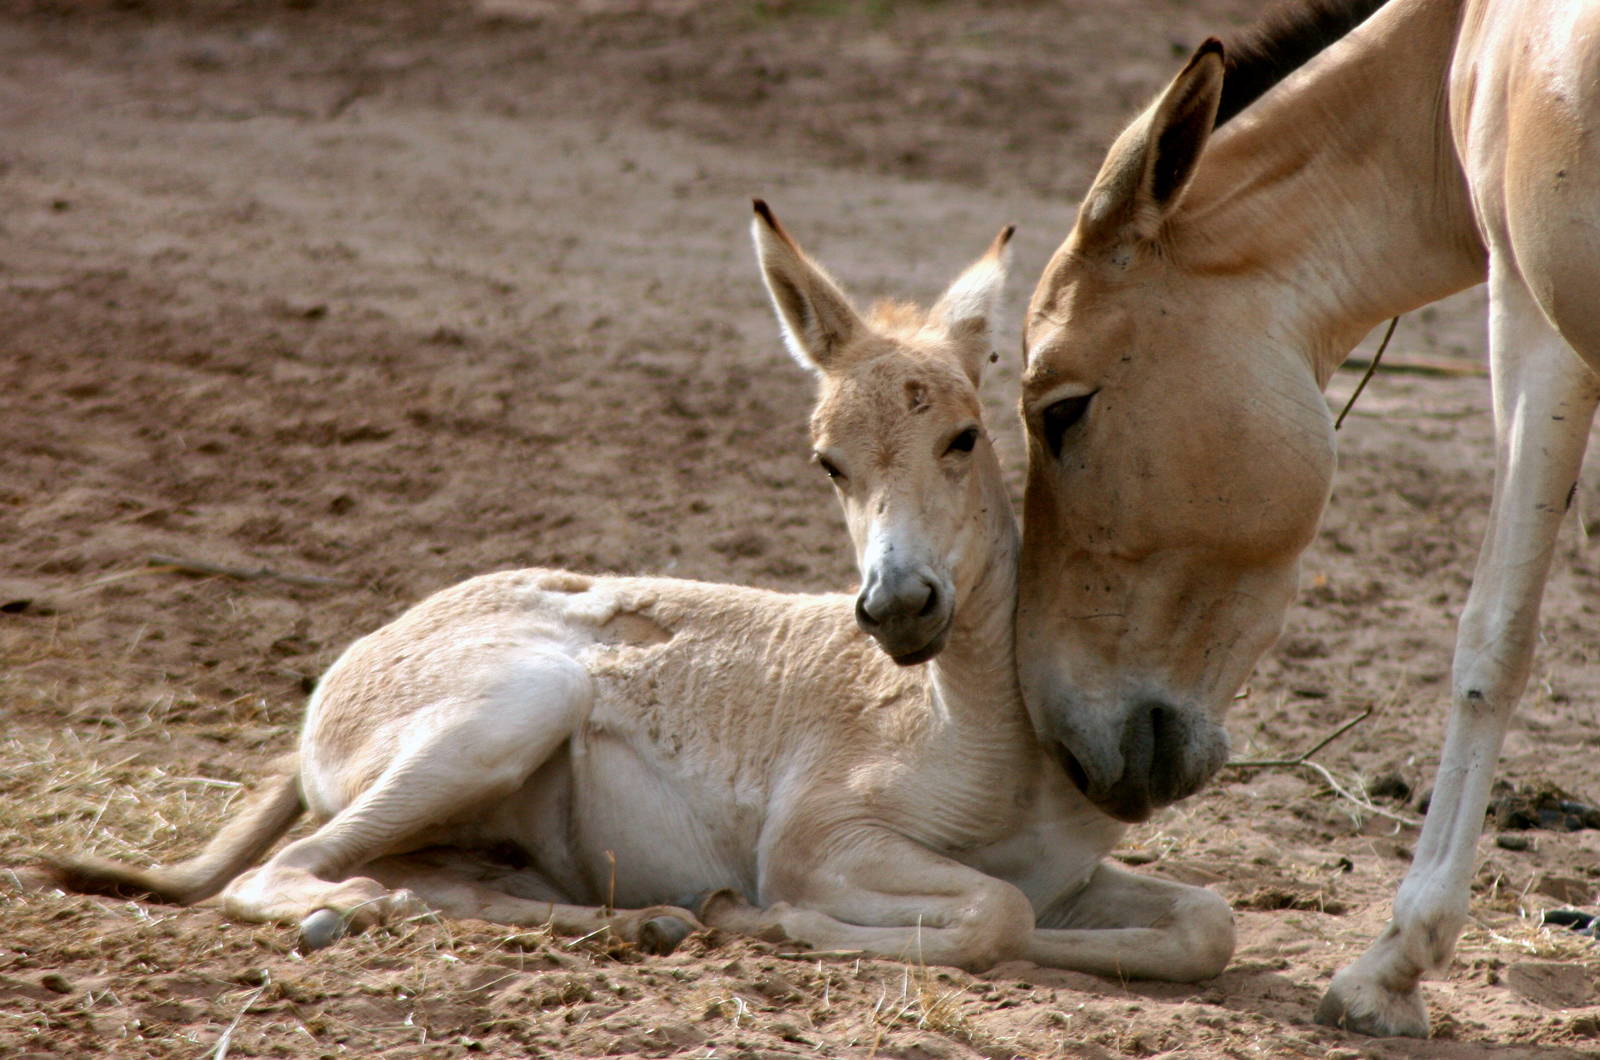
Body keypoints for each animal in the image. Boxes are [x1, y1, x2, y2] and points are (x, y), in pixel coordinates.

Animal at [46, 202, 1234, 981]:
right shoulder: (819, 838)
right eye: (827, 462)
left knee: (431, 883)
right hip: (514, 706)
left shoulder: (1070, 872)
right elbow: (990, 912)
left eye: (963, 436)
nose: (900, 609)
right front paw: (775, 924)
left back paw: (632, 924)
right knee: (284, 875)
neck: (979, 725)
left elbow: (1199, 924)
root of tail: (354, 660)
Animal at [1016, 0, 1600, 1036]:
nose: (1068, 749)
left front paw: (1391, 968)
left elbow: (1491, 640)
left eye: (1062, 411)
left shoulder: (1533, 322)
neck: (1466, 45)